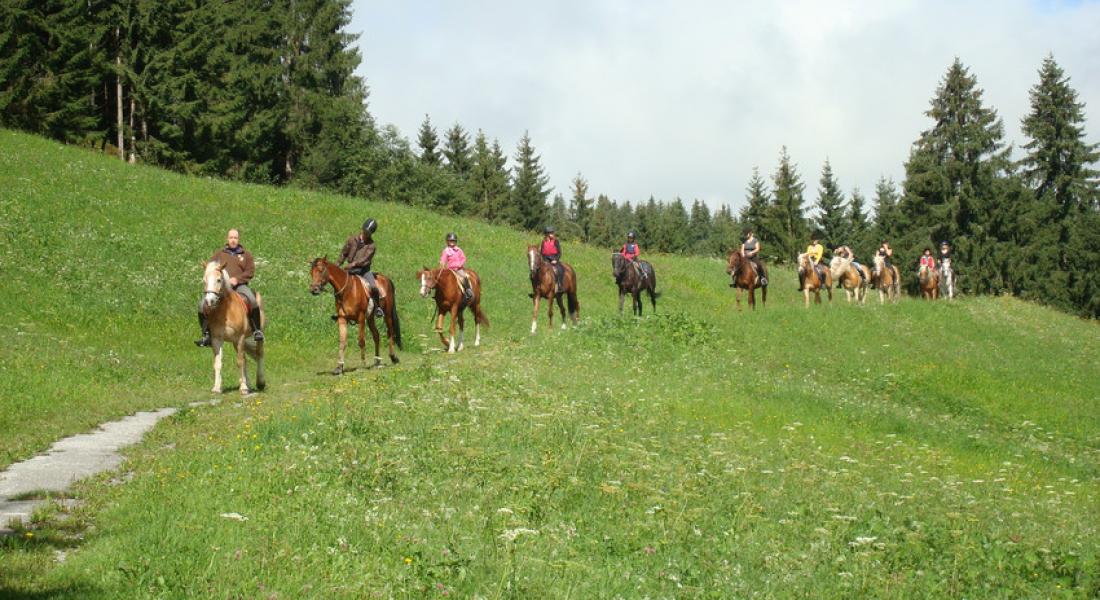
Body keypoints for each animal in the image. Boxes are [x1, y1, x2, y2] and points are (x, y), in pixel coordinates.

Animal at [200, 260, 264, 391]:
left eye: (219, 280)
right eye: (204, 280)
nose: (209, 301)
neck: (225, 312)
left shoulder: (239, 338)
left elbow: (239, 362)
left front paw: (243, 388)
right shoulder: (217, 339)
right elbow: (218, 363)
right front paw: (217, 387)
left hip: (255, 336)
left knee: (259, 354)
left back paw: (260, 383)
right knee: (246, 359)